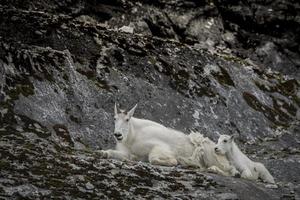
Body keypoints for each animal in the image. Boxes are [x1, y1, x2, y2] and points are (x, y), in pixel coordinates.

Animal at [98, 104, 239, 177]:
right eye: (115, 118)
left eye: (127, 119)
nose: (118, 135)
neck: (133, 135)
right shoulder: (126, 152)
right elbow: (113, 153)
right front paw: (102, 153)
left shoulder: (159, 148)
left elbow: (154, 159)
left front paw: (175, 162)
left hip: (213, 156)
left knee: (232, 171)